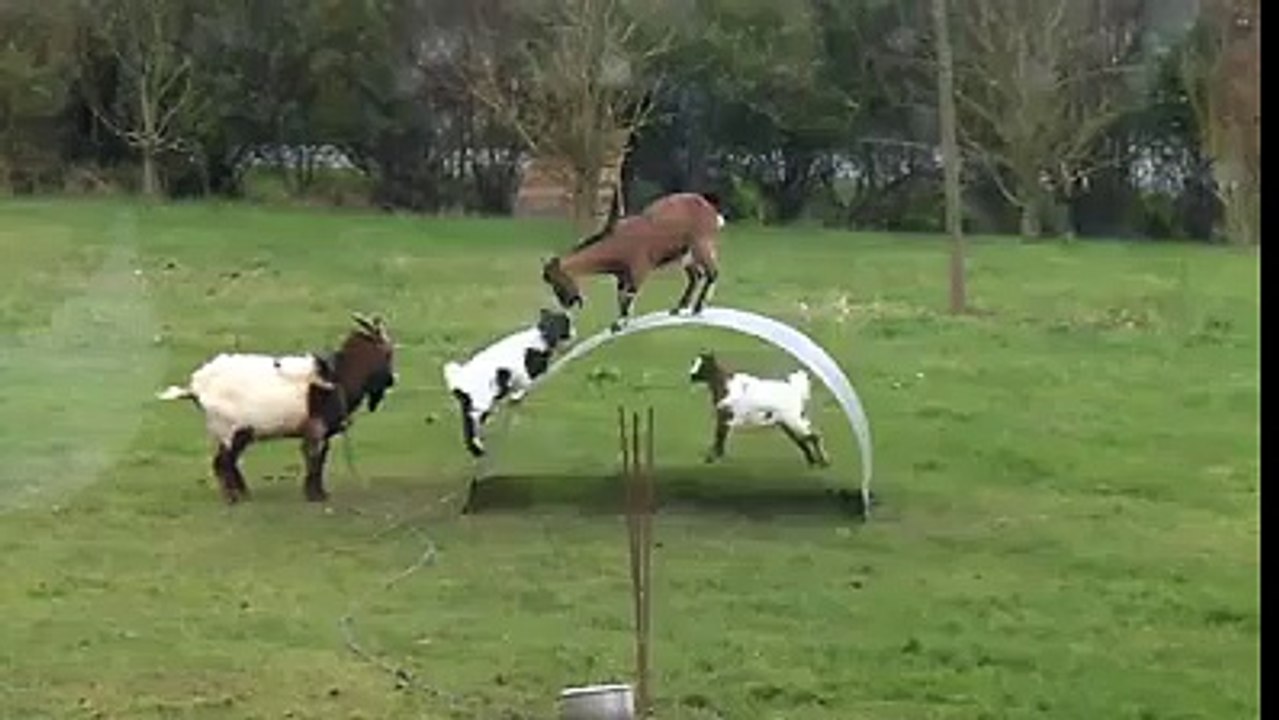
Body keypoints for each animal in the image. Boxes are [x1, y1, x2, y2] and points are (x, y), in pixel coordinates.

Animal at [157, 313, 396, 504]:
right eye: (388, 353)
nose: (392, 380)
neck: (337, 377)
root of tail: (196, 387)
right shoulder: (315, 429)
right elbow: (314, 460)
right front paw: (315, 496)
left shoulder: (321, 432)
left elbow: (321, 460)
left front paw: (318, 493)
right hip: (231, 429)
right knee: (222, 462)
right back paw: (233, 498)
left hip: (231, 432)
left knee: (228, 462)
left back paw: (243, 494)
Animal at [443, 308, 575, 459]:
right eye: (567, 324)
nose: (574, 333)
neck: (539, 337)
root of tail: (458, 380)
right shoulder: (526, 373)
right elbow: (524, 384)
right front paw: (517, 396)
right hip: (481, 400)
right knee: (472, 422)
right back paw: (478, 447)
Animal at [541, 191, 725, 332]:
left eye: (558, 281)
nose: (568, 303)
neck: (616, 244)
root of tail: (711, 211)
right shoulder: (622, 276)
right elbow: (621, 296)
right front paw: (624, 320)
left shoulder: (639, 269)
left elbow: (629, 294)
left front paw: (619, 324)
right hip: (685, 254)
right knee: (696, 276)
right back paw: (679, 307)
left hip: (701, 244)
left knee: (712, 273)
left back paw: (698, 308)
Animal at [688, 351, 830, 468]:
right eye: (694, 362)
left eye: (703, 364)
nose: (691, 376)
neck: (727, 386)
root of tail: (795, 390)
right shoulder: (724, 419)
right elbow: (720, 437)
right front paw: (715, 457)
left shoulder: (724, 417)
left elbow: (719, 437)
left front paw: (711, 458)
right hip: (787, 423)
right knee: (803, 440)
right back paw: (813, 462)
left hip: (793, 420)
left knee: (813, 437)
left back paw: (823, 462)